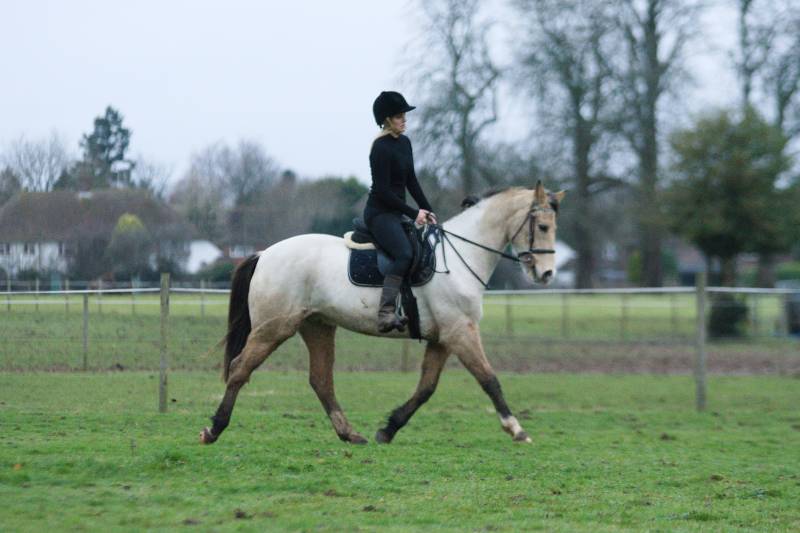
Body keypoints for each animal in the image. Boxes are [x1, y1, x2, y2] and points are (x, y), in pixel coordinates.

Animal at [200, 181, 565, 445]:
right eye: (543, 226)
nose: (546, 274)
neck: (462, 255)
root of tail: (264, 253)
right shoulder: (460, 332)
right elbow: (489, 379)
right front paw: (516, 428)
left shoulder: (443, 338)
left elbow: (426, 387)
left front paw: (389, 428)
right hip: (273, 328)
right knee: (240, 368)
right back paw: (214, 429)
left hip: (317, 326)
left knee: (321, 380)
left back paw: (351, 434)